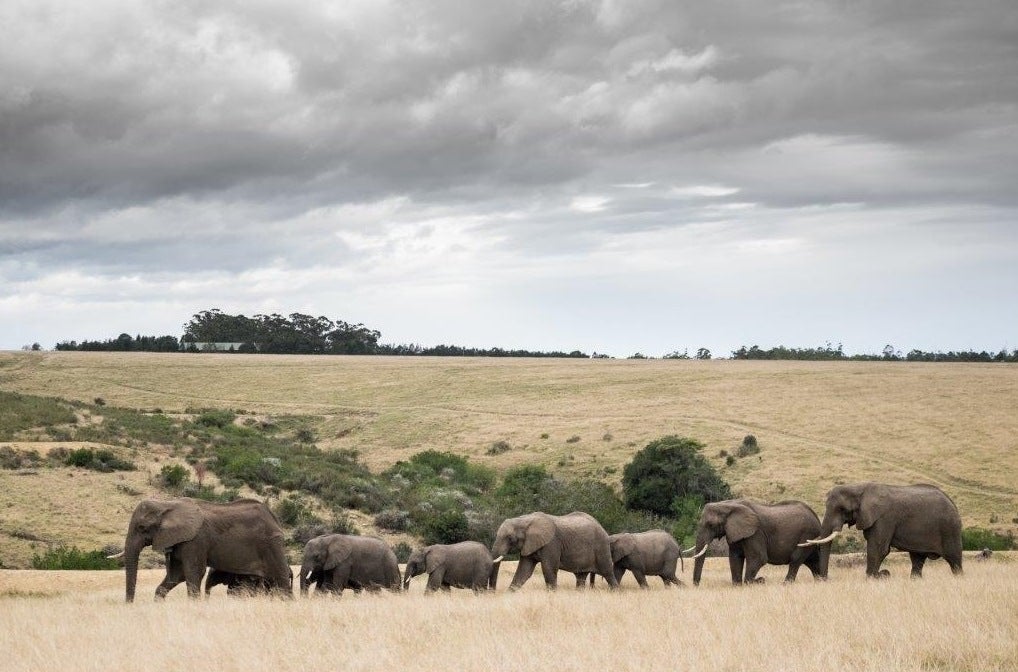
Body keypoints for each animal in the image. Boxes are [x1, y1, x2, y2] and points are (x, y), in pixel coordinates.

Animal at [113, 497, 292, 602]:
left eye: (142, 528)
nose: (129, 605)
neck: (167, 504)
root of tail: (273, 517)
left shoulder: (196, 540)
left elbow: (193, 573)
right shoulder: (181, 540)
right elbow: (177, 575)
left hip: (272, 544)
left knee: (281, 579)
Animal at [690, 499, 822, 585]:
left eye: (711, 525)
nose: (696, 585)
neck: (727, 505)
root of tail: (816, 517)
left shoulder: (756, 533)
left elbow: (758, 558)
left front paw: (758, 581)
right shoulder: (735, 532)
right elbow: (735, 558)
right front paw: (737, 585)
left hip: (808, 534)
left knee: (796, 560)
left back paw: (785, 584)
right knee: (813, 562)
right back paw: (821, 581)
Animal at [798, 482, 963, 578]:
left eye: (842, 509)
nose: (825, 579)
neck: (859, 488)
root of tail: (953, 503)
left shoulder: (884, 518)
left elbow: (878, 549)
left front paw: (872, 578)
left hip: (950, 528)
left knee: (954, 559)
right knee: (917, 559)